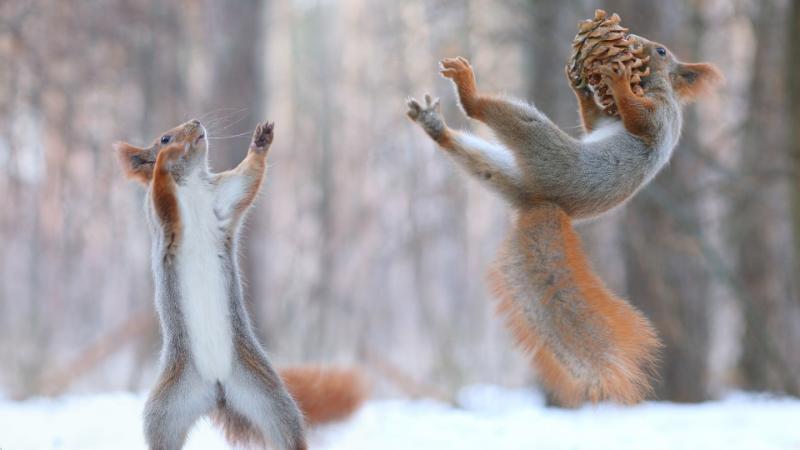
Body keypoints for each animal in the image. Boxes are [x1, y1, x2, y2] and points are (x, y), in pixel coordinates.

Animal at [115, 120, 366, 450]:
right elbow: (161, 194)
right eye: (164, 138)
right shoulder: (162, 218)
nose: (196, 123)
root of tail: (217, 388)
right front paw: (164, 161)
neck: (190, 183)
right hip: (165, 410)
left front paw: (261, 142)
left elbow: (248, 178)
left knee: (285, 429)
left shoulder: (223, 197)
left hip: (266, 394)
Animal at [410, 33, 720, 404]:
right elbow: (592, 122)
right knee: (474, 158)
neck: (654, 86)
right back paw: (434, 126)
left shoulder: (659, 116)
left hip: (543, 146)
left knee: (486, 112)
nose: (634, 41)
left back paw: (467, 89)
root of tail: (543, 203)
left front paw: (617, 82)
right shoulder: (606, 121)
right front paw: (582, 88)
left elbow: (637, 119)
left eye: (660, 51)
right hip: (503, 172)